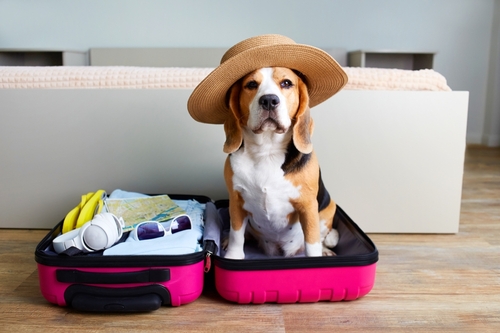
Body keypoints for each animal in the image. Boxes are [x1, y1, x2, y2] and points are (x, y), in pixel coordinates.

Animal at [224, 66, 338, 258]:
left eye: (286, 83)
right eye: (251, 84)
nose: (269, 100)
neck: (267, 151)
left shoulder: (308, 207)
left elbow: (312, 242)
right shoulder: (236, 202)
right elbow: (236, 235)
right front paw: (233, 255)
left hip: (329, 207)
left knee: (323, 237)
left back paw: (326, 250)